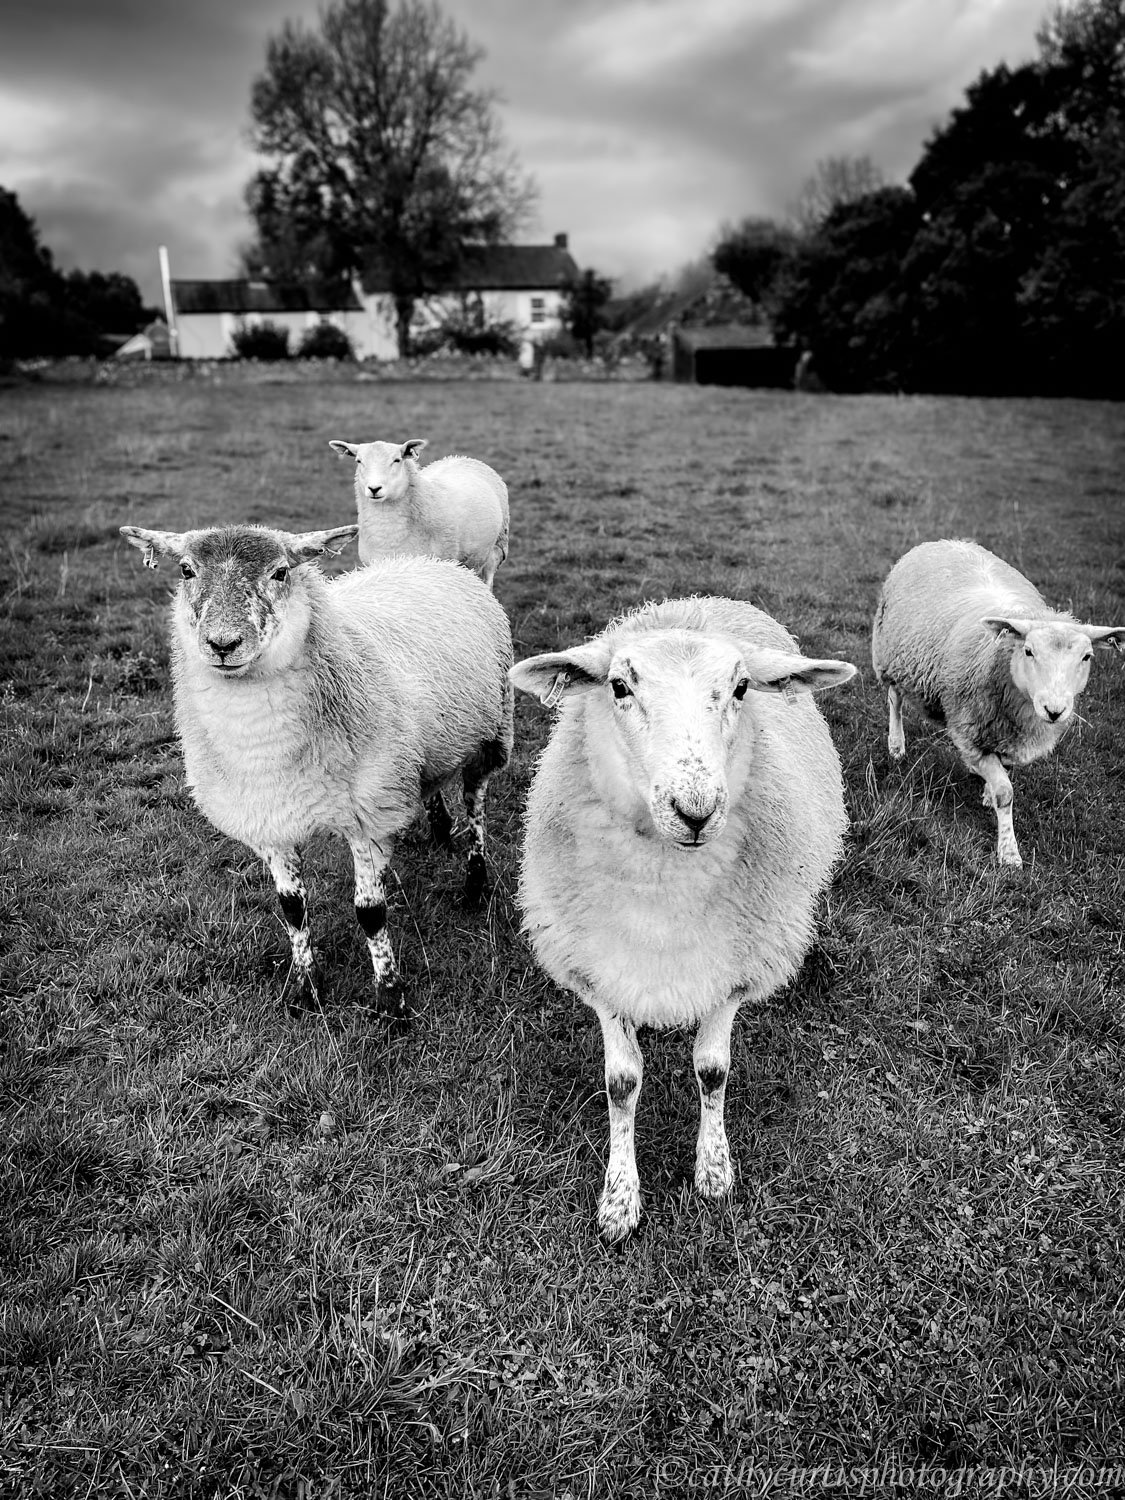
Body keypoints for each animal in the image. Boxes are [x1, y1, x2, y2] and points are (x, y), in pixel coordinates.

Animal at [119, 521, 513, 1014]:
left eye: (281, 571)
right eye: (187, 570)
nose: (223, 644)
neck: (261, 744)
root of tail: (428, 562)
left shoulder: (369, 815)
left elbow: (370, 913)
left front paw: (390, 997)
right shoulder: (268, 817)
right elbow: (292, 910)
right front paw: (305, 986)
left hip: (493, 730)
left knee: (475, 800)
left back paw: (475, 882)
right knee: (434, 782)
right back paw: (440, 828)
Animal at [510, 597, 856, 1241]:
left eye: (741, 688)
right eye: (619, 686)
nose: (695, 811)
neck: (666, 889)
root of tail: (704, 603)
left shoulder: (735, 969)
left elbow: (713, 1070)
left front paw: (713, 1171)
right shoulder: (601, 969)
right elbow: (622, 1084)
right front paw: (620, 1199)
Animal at [872, 538, 1124, 867]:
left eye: (1087, 657)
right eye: (1028, 651)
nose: (1054, 711)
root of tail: (946, 541)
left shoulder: (1009, 736)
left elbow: (1002, 770)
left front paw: (986, 792)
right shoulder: (969, 732)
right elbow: (1006, 793)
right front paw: (1009, 852)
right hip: (891, 658)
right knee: (895, 700)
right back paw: (896, 745)